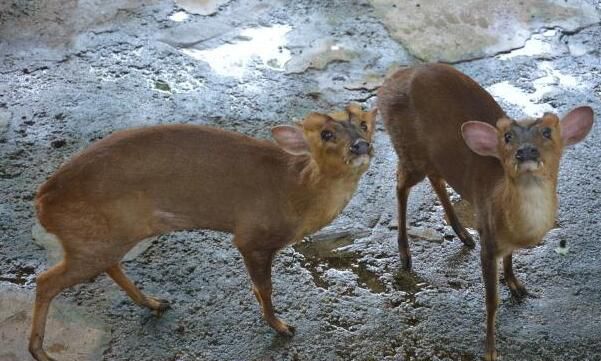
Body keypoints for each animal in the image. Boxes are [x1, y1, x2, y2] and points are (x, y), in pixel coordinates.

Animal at [29, 104, 376, 360]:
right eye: (326, 133)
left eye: (363, 123)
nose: (361, 145)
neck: (298, 192)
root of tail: (42, 200)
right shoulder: (253, 236)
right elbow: (263, 287)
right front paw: (280, 326)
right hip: (92, 237)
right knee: (46, 281)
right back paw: (40, 352)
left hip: (108, 235)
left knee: (108, 265)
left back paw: (153, 303)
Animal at [378, 63, 592, 358]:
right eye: (507, 137)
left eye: (548, 132)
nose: (526, 152)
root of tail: (391, 79)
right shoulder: (488, 239)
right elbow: (491, 300)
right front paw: (490, 350)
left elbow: (510, 260)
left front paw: (517, 285)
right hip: (410, 149)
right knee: (400, 183)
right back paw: (405, 254)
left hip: (432, 157)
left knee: (436, 178)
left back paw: (463, 234)